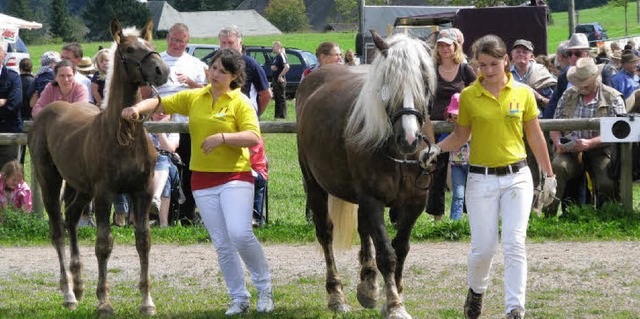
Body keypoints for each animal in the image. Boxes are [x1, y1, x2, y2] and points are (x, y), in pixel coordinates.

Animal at [27, 18, 169, 316]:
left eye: (150, 44)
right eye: (128, 50)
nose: (161, 70)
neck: (122, 135)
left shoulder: (142, 191)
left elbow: (143, 241)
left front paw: (146, 301)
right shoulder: (105, 194)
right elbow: (104, 244)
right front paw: (104, 302)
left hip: (82, 188)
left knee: (71, 217)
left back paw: (79, 284)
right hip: (50, 181)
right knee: (57, 230)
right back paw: (69, 293)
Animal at [296, 30, 438, 319]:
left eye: (424, 81)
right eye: (387, 82)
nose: (408, 139)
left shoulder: (414, 203)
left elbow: (401, 248)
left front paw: (390, 294)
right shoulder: (373, 199)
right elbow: (387, 253)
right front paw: (394, 304)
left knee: (364, 230)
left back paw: (369, 285)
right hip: (315, 186)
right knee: (326, 234)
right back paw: (336, 295)